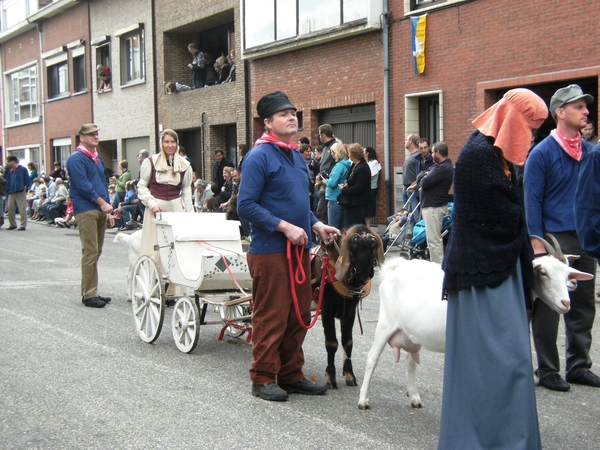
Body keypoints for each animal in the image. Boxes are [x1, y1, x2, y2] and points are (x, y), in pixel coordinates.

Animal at [358, 253, 592, 412]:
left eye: (567, 274)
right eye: (543, 273)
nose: (566, 302)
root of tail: (396, 267)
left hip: (411, 331)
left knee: (410, 363)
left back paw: (414, 397)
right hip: (386, 323)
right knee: (371, 359)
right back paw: (363, 400)